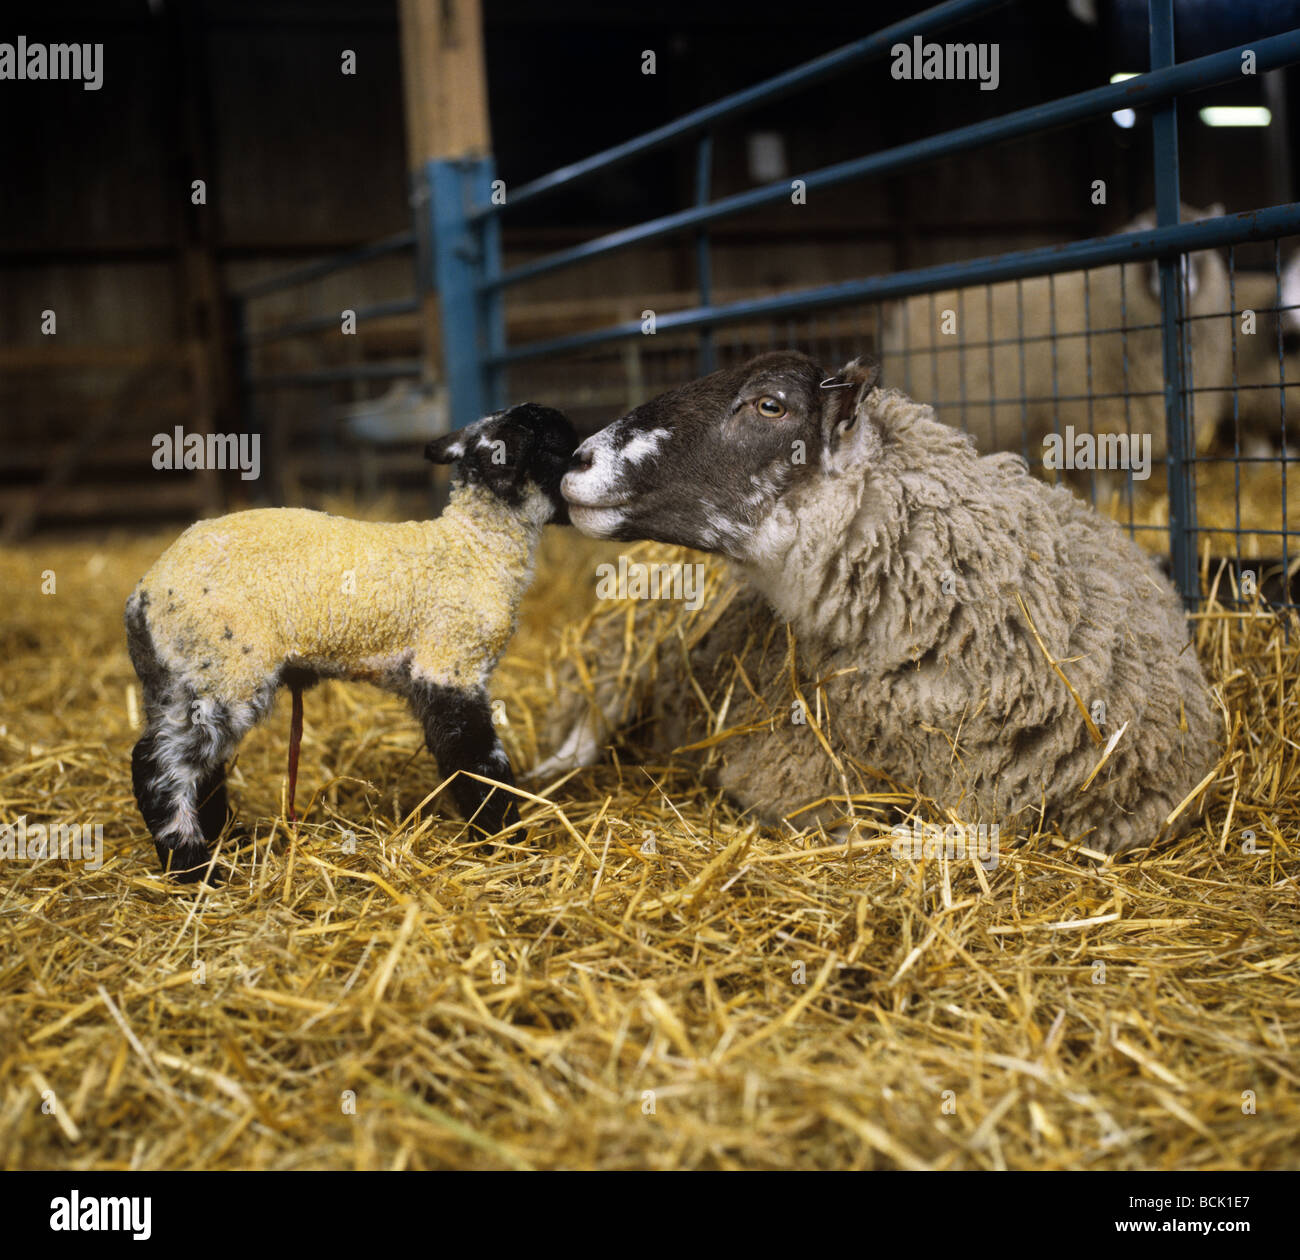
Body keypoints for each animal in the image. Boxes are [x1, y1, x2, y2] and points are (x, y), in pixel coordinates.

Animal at [126, 402, 576, 881]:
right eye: (558, 447)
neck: (473, 549)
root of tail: (142, 595)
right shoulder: (451, 663)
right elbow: (477, 758)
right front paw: (504, 841)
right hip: (223, 667)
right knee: (159, 764)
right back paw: (191, 866)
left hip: (178, 679)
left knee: (198, 763)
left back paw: (224, 842)